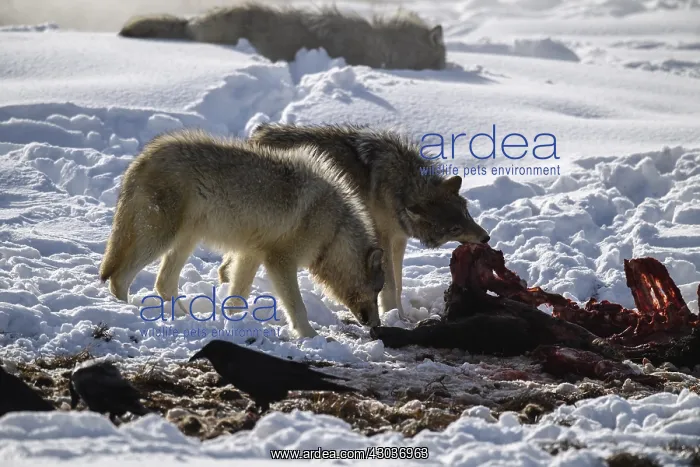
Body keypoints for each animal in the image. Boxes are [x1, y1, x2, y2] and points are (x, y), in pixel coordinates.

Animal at [99, 129, 385, 339]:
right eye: (378, 290)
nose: (377, 326)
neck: (334, 230)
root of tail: (144, 156)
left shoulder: (250, 254)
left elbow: (238, 297)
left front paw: (234, 325)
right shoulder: (279, 262)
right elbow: (298, 307)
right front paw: (310, 336)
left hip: (186, 240)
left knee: (163, 283)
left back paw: (182, 316)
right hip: (160, 239)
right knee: (119, 277)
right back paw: (126, 310)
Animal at [219, 123, 490, 319]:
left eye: (467, 214)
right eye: (454, 228)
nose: (486, 238)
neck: (402, 183)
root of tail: (255, 136)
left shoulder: (399, 239)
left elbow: (399, 283)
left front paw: (400, 315)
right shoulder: (382, 237)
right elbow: (390, 284)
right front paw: (394, 316)